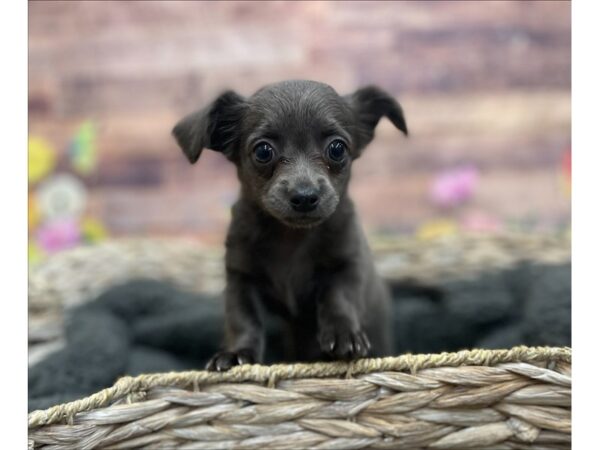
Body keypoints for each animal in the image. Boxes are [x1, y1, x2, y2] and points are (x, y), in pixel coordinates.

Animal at [172, 80, 408, 370]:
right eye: (263, 151)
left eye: (337, 149)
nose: (304, 196)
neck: (290, 236)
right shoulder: (240, 278)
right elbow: (242, 318)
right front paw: (237, 353)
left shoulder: (346, 263)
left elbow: (339, 297)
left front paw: (344, 335)